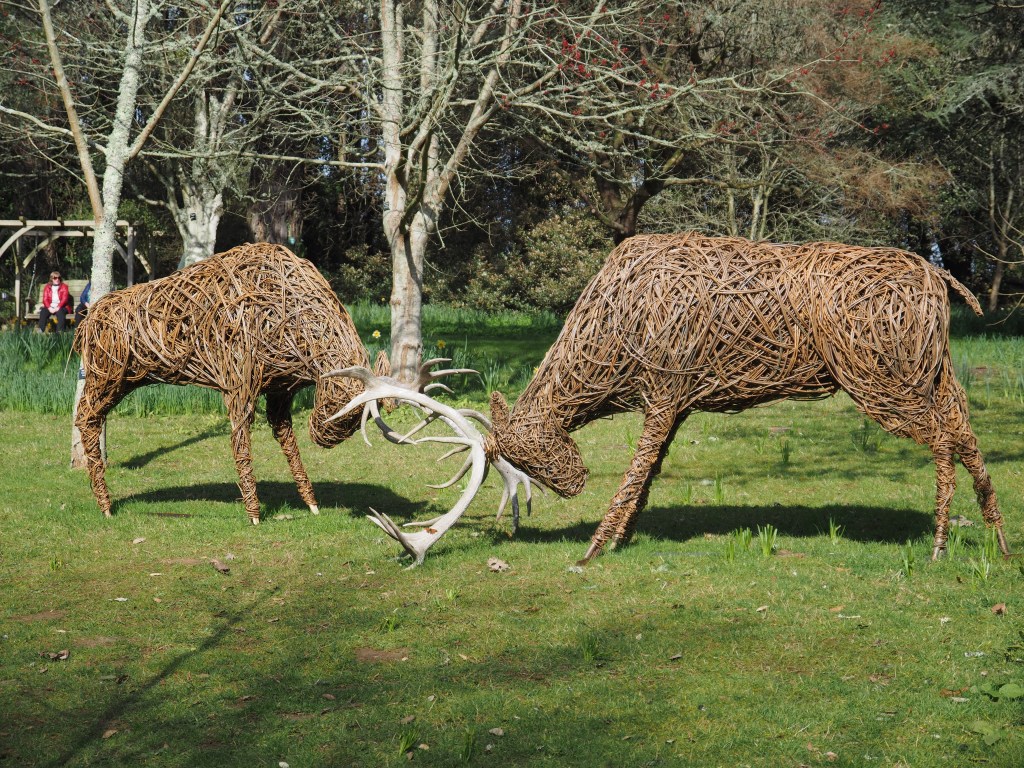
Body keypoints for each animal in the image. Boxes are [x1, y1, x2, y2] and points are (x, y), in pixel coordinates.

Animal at [332, 233, 1010, 566]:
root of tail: (938, 278)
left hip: (879, 378)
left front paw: (593, 549)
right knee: (968, 437)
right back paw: (998, 541)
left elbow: (636, 469)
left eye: (523, 457)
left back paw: (940, 545)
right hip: (934, 372)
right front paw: (622, 538)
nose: (574, 479)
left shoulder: (662, 389)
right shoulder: (679, 400)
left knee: (943, 443)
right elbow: (651, 473)